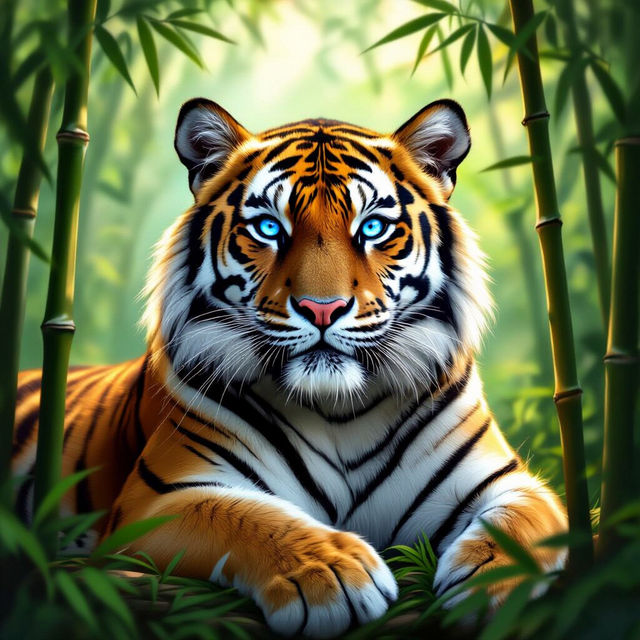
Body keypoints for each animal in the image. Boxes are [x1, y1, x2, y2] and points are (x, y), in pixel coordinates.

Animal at [12, 97, 567, 637]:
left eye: (372, 227)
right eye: (268, 228)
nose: (322, 309)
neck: (341, 410)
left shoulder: (507, 481)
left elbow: (525, 520)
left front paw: (497, 582)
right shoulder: (155, 501)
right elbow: (243, 515)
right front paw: (330, 572)